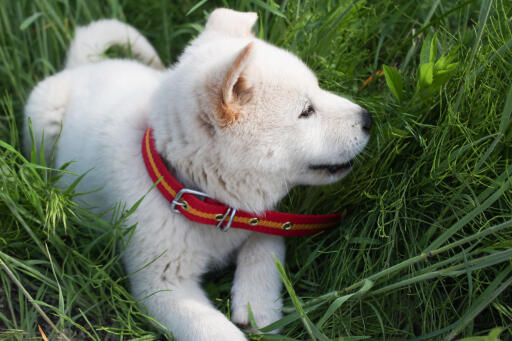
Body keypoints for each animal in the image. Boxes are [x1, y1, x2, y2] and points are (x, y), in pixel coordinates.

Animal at [24, 8, 370, 340]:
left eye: (318, 90)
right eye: (306, 111)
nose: (368, 118)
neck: (207, 203)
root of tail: (81, 67)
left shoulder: (262, 217)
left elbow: (266, 247)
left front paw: (258, 306)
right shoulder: (162, 284)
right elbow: (214, 330)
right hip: (40, 121)